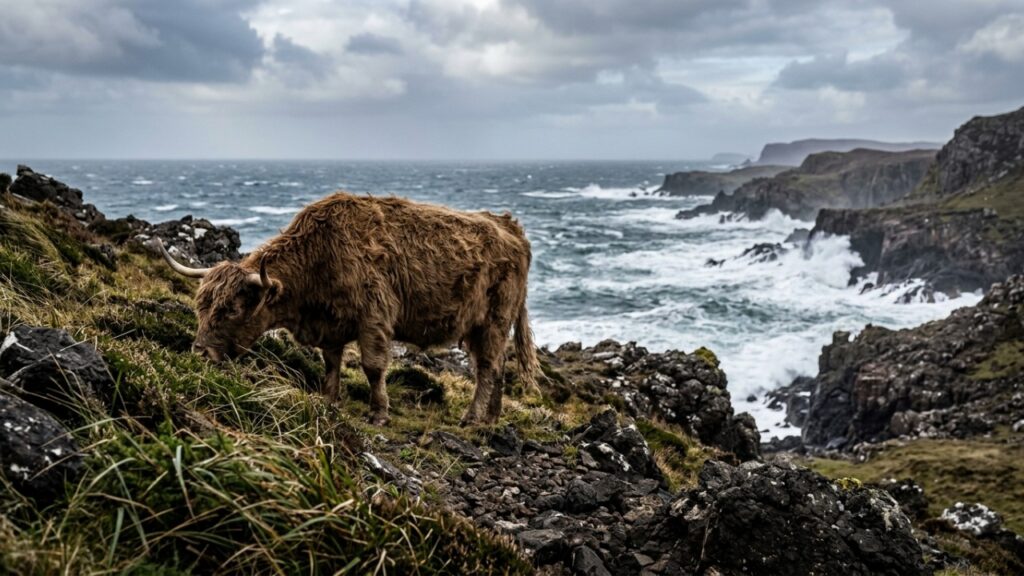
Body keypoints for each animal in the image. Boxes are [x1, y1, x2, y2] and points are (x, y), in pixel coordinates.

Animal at [157, 192, 539, 426]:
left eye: (233, 309)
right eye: (201, 306)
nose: (200, 352)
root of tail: (509, 225)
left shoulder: (374, 318)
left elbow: (372, 367)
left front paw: (379, 413)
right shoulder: (330, 326)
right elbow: (331, 364)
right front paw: (328, 401)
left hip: (493, 320)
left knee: (487, 368)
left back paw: (472, 418)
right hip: (481, 326)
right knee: (497, 367)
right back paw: (492, 417)